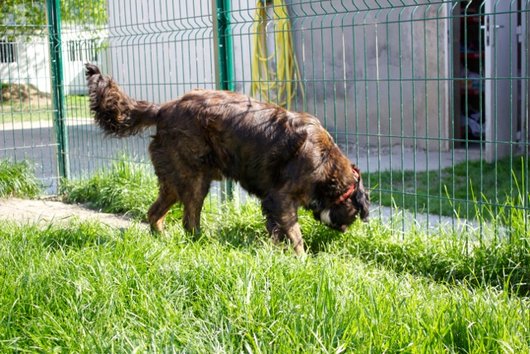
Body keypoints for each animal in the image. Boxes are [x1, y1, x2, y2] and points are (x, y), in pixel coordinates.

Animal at [85, 63, 368, 254]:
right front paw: (303, 261)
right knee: (189, 221)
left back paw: (163, 239)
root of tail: (163, 109)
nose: (344, 231)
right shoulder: (280, 199)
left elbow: (278, 233)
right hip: (194, 180)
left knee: (154, 212)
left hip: (174, 182)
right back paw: (201, 242)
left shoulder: (275, 205)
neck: (326, 163)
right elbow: (295, 236)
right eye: (354, 215)